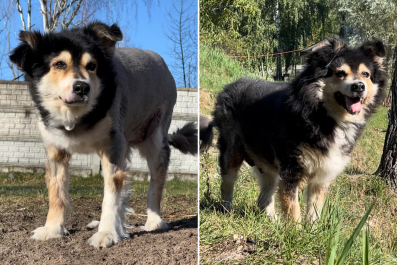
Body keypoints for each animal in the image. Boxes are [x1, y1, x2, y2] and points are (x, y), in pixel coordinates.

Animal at [200, 38, 386, 221]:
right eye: (340, 73)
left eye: (365, 74)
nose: (359, 86)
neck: (322, 115)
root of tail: (228, 87)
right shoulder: (291, 168)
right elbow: (293, 209)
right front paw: (294, 229)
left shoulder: (322, 174)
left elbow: (314, 212)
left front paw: (310, 229)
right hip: (233, 150)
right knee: (228, 182)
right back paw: (227, 210)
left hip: (267, 162)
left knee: (264, 195)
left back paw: (271, 221)